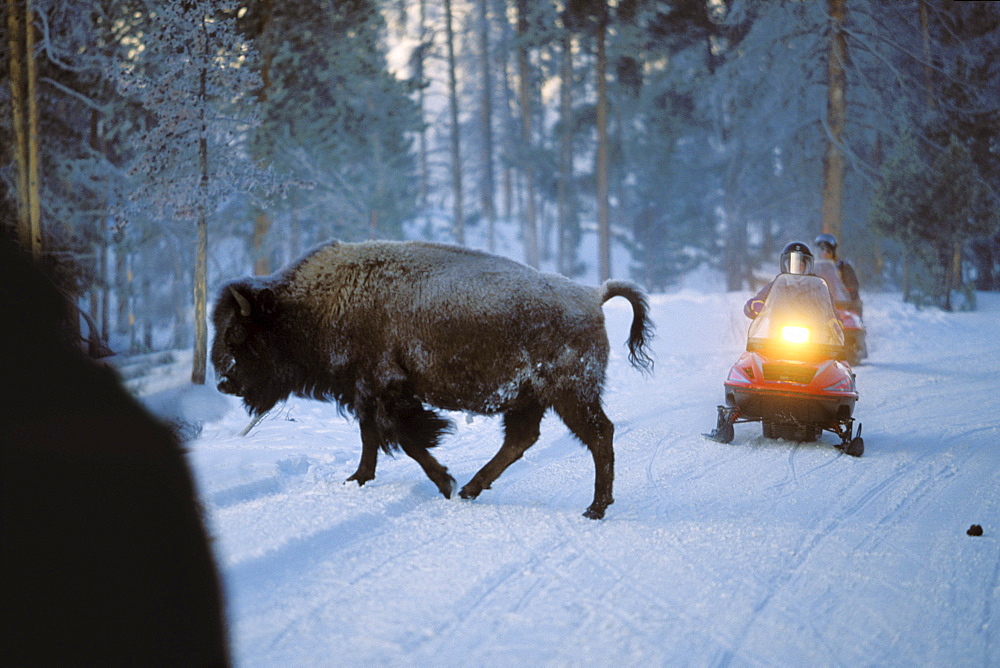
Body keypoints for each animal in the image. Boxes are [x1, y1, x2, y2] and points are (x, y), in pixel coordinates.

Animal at [214, 240, 652, 516]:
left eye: (237, 333)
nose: (223, 382)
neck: (318, 305)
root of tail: (592, 295)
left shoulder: (385, 390)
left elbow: (404, 438)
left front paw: (443, 482)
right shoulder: (365, 394)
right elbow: (370, 437)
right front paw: (357, 479)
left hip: (569, 395)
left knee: (598, 435)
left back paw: (594, 509)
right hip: (529, 399)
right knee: (522, 439)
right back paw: (472, 489)